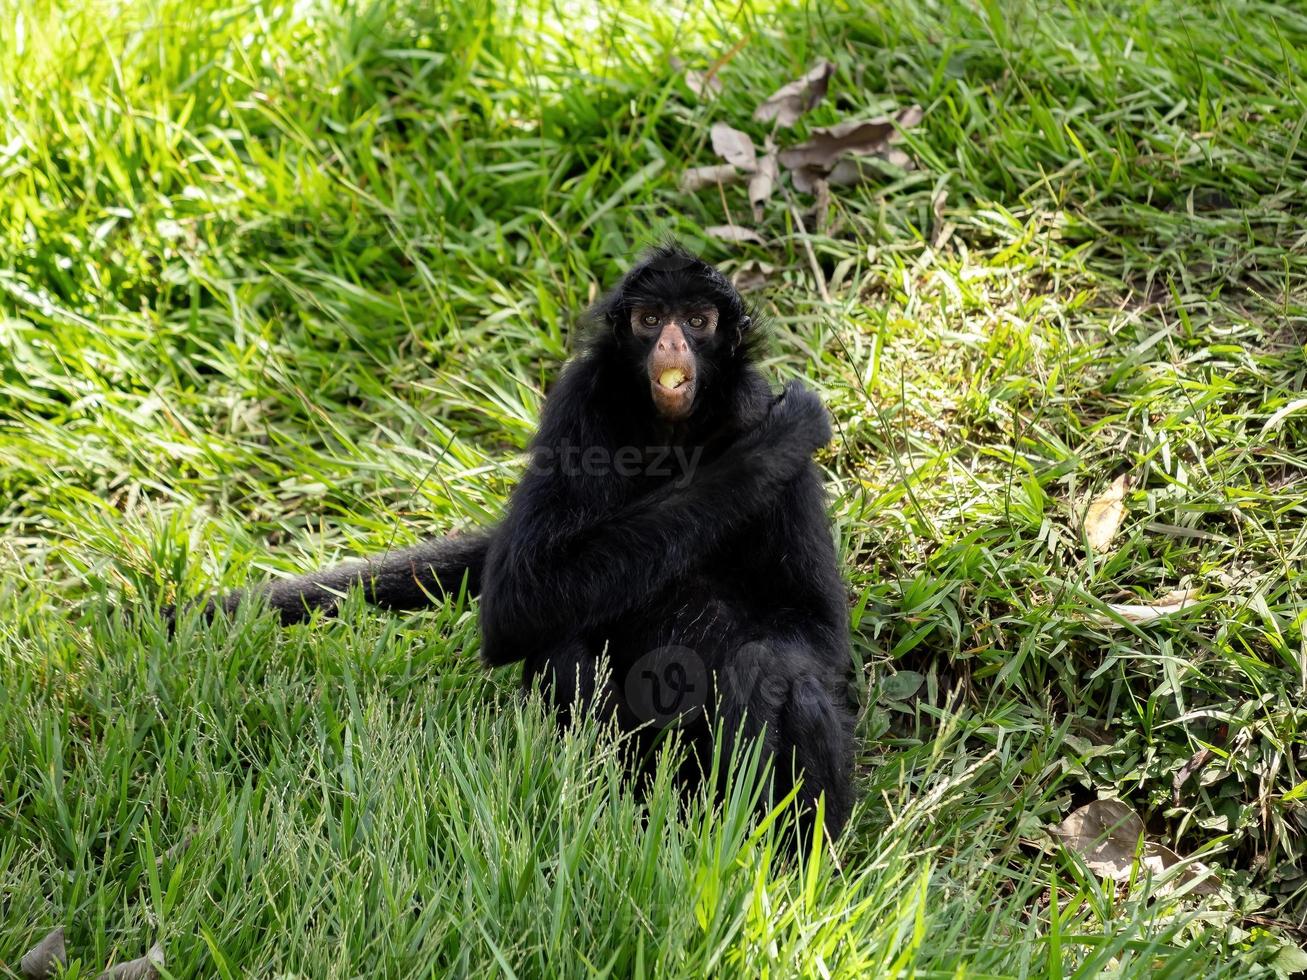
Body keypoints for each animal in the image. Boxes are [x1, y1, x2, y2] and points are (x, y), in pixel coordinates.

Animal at [186, 245, 857, 846]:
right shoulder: (579, 402)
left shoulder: (751, 406)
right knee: (559, 636)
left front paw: (759, 675)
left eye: (697, 321)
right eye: (649, 320)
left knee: (788, 677)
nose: (671, 343)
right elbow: (519, 596)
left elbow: (815, 636)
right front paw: (764, 453)